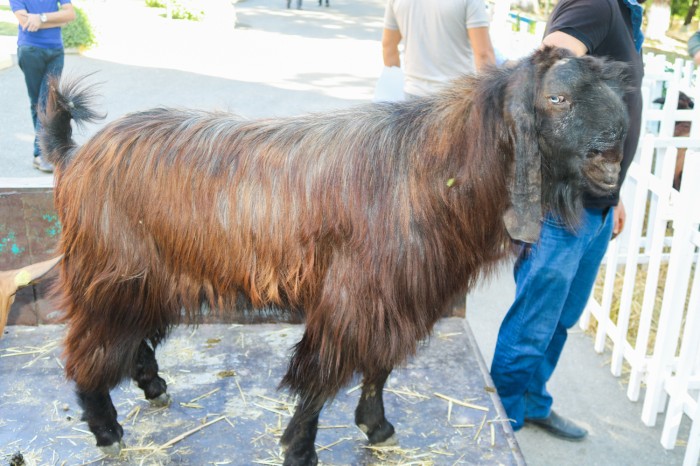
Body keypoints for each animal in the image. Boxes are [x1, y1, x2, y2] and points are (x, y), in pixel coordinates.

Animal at [37, 45, 628, 464]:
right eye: (557, 99)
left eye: (615, 95)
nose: (614, 143)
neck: (431, 170)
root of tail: (74, 155)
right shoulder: (353, 298)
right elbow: (323, 376)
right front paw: (300, 449)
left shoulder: (396, 300)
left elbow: (379, 367)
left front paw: (377, 426)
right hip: (110, 274)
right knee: (87, 352)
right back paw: (107, 429)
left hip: (147, 279)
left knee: (130, 337)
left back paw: (153, 387)